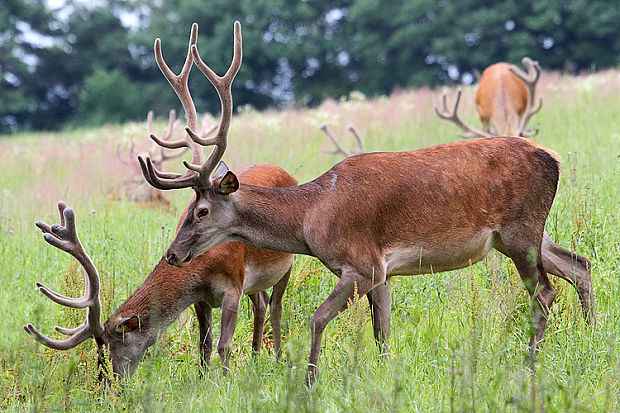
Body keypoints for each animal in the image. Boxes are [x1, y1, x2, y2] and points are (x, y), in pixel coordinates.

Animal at [24, 163, 296, 376]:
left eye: (111, 349)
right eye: (97, 351)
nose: (106, 385)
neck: (204, 263)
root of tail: (285, 171)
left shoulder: (233, 285)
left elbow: (224, 345)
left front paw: (224, 382)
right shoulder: (200, 296)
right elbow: (204, 344)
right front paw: (202, 380)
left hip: (286, 263)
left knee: (275, 306)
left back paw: (278, 359)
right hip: (256, 281)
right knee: (261, 301)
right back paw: (255, 358)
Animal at [139, 22, 596, 384]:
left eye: (201, 212)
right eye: (184, 211)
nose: (173, 255)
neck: (311, 219)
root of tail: (554, 158)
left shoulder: (361, 263)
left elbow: (318, 317)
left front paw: (310, 380)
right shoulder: (383, 270)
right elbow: (383, 331)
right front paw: (385, 375)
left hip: (520, 230)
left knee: (546, 292)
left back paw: (530, 364)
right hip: (523, 233)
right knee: (579, 264)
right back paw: (591, 338)